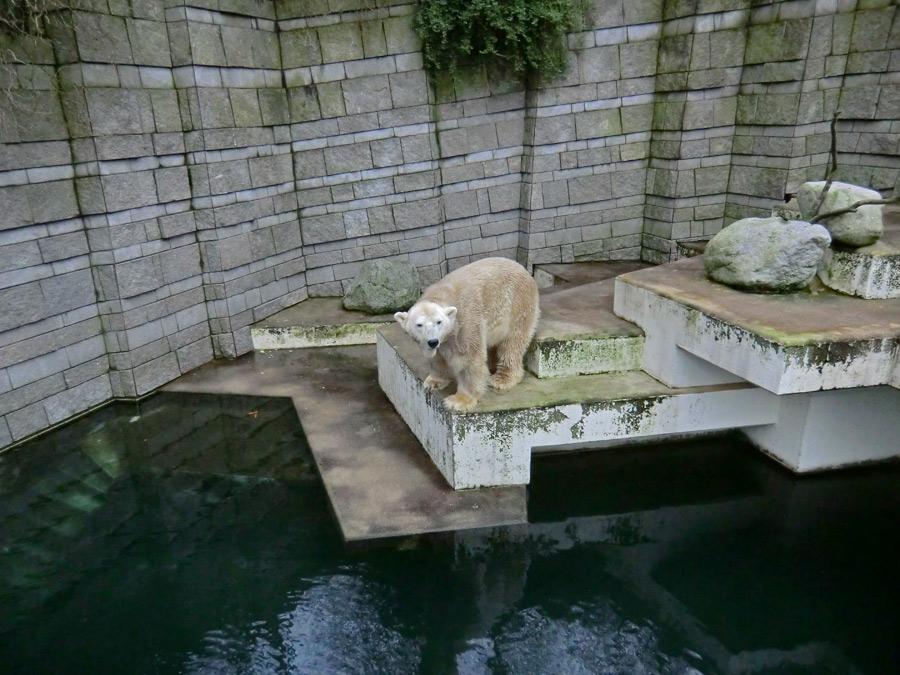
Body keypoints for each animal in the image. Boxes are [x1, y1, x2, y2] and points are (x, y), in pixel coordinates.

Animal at [396, 256, 536, 410]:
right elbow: (436, 358)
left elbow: (469, 360)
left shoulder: (464, 325)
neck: (440, 295)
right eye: (419, 325)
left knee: (512, 342)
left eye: (439, 322)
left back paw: (502, 378)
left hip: (518, 304)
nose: (433, 341)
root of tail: (522, 268)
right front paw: (433, 382)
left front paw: (458, 401)